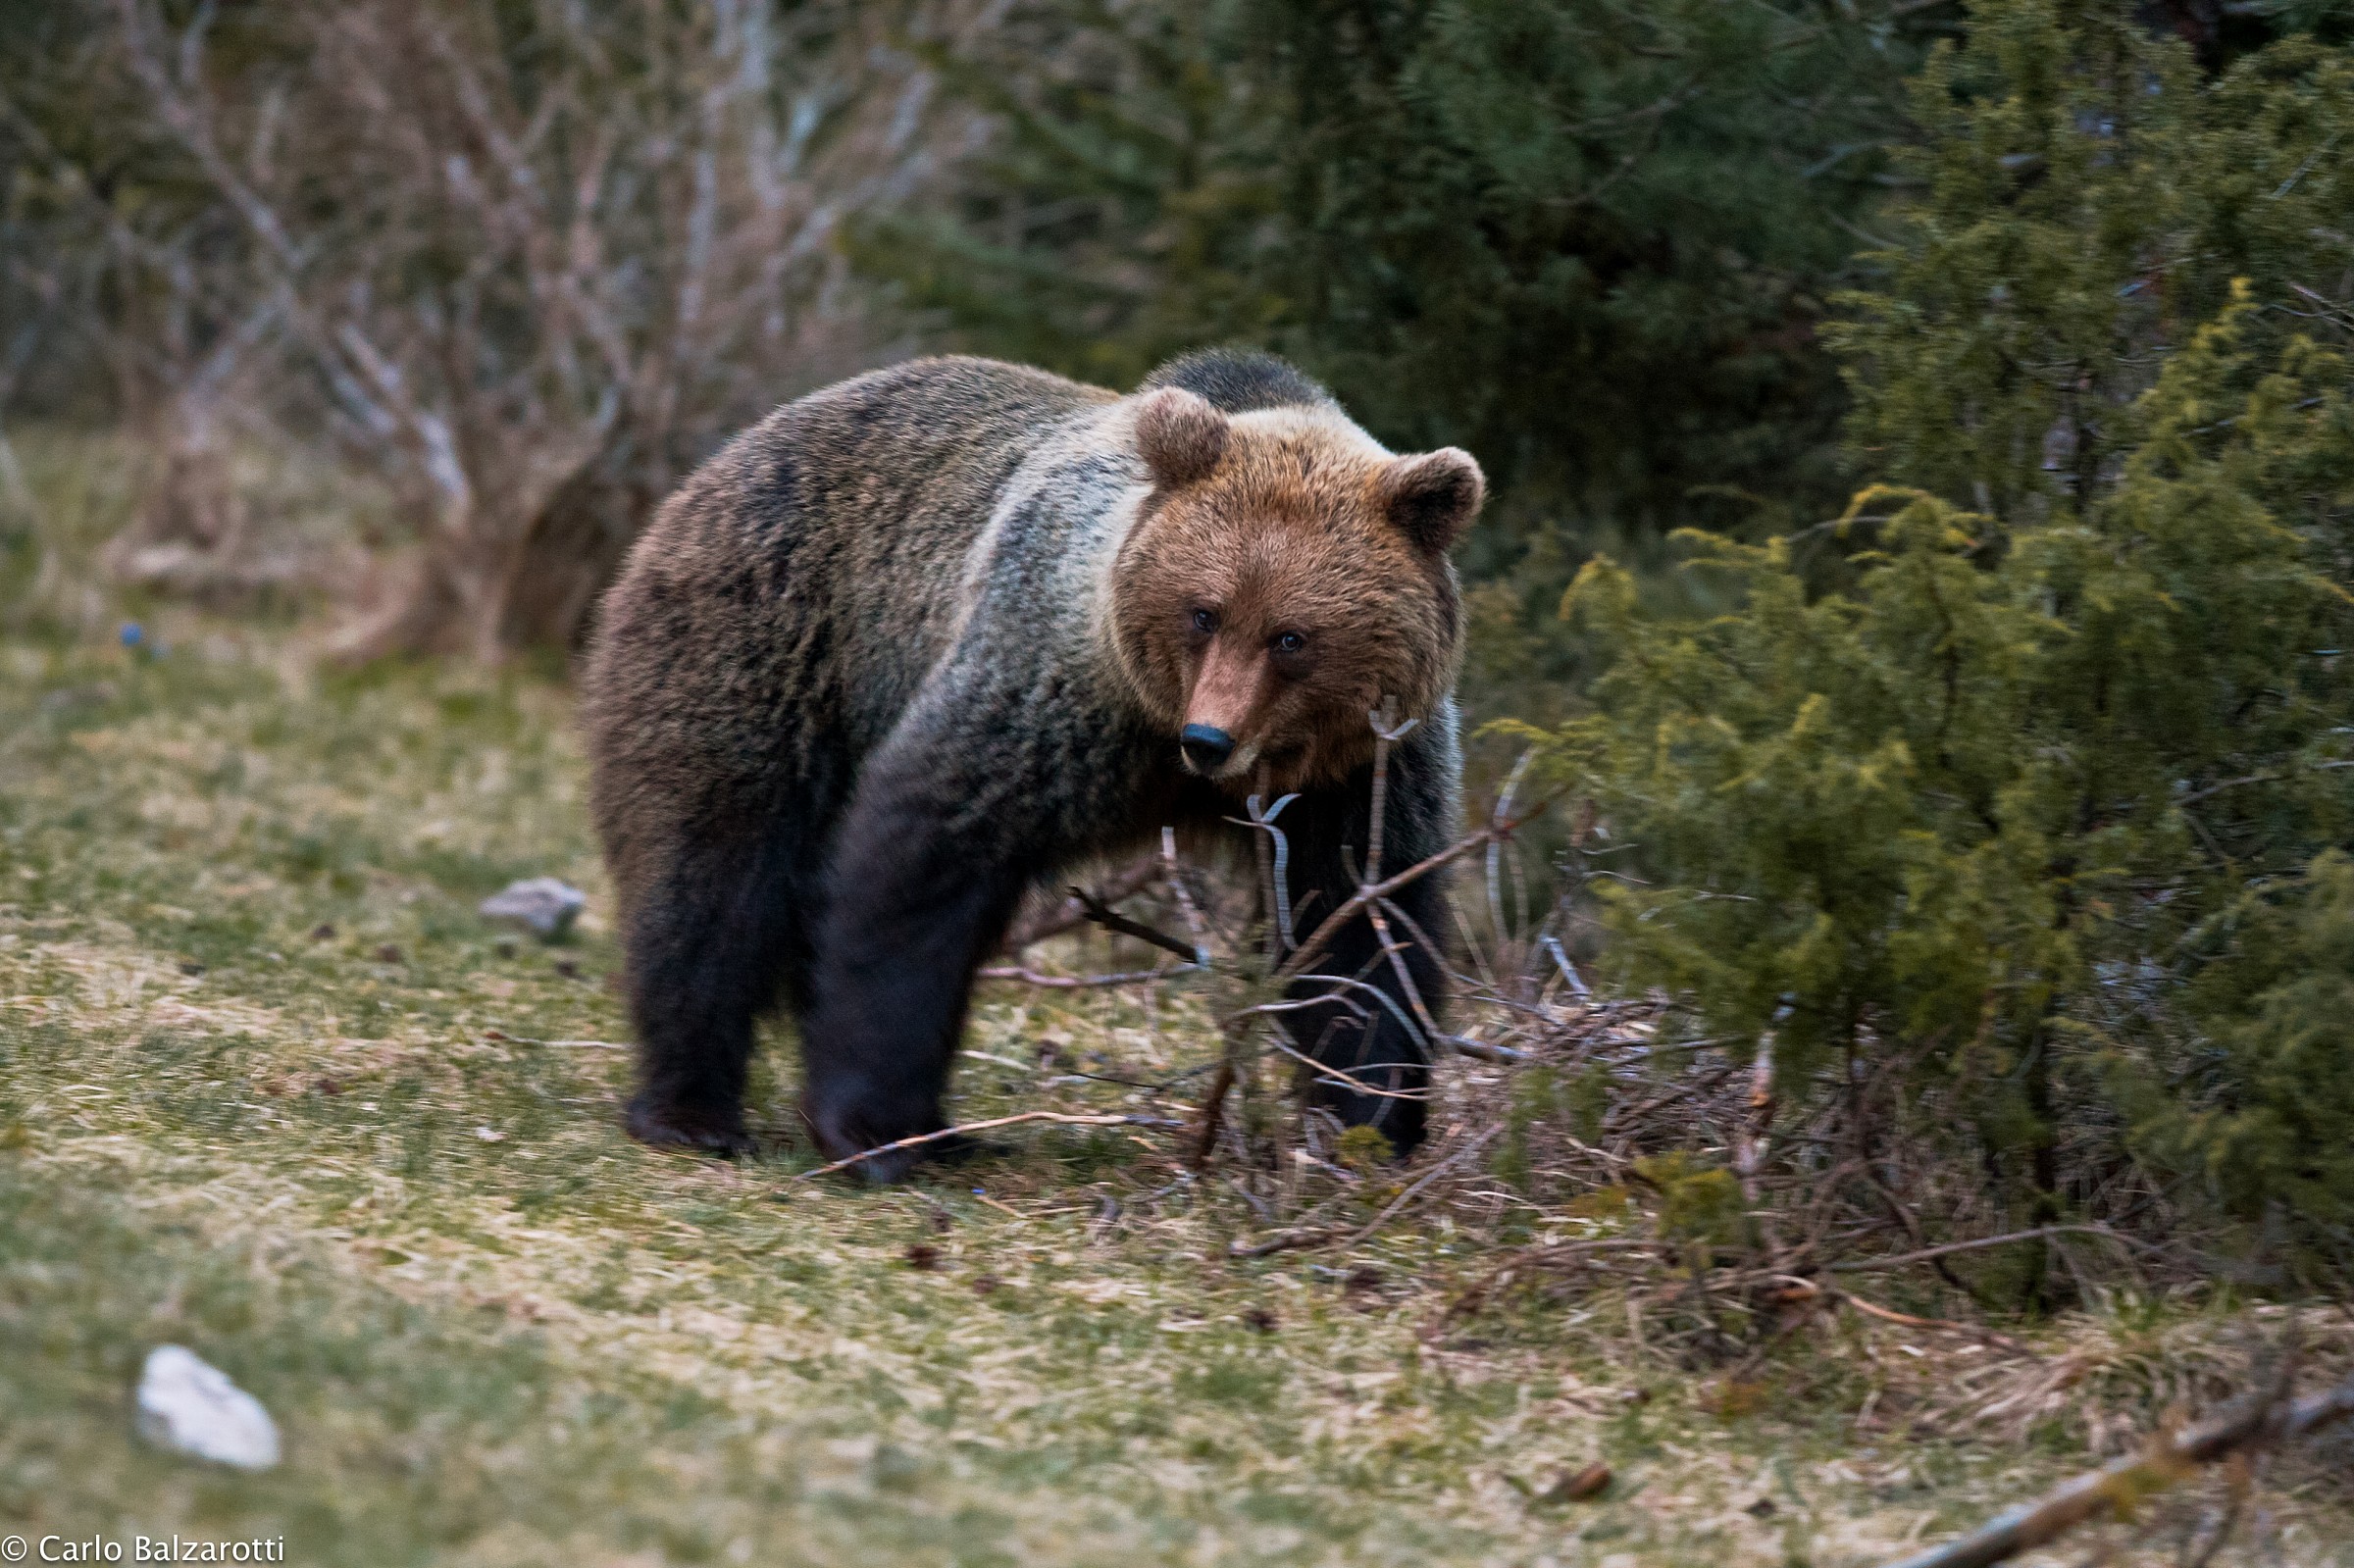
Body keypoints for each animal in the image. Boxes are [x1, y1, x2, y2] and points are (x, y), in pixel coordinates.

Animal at [581, 348, 1482, 1181]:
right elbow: (920, 859)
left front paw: (1372, 1123)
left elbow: (1361, 932)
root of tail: (723, 458)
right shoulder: (1057, 691)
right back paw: (692, 1109)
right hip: (770, 643)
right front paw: (871, 1129)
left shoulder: (1359, 771)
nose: (1209, 738)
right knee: (714, 874)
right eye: (1204, 612)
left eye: (1291, 636)